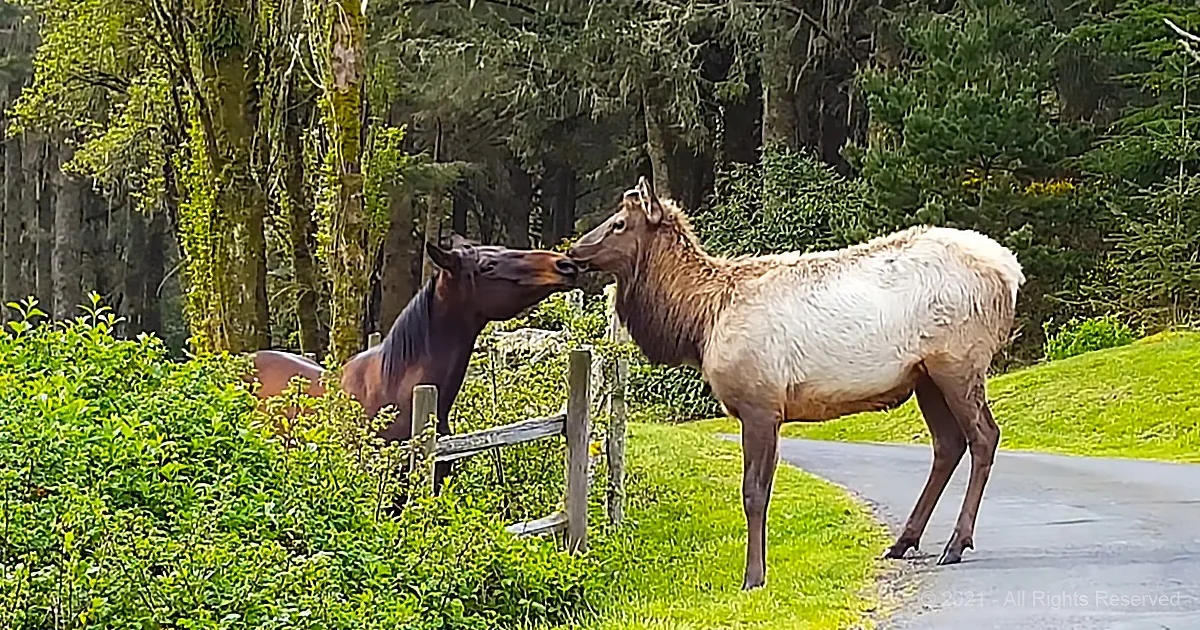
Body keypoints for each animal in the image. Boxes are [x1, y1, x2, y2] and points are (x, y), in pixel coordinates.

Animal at [568, 177, 1024, 590]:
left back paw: (956, 543)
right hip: (925, 376)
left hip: (959, 361)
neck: (700, 323)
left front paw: (753, 577)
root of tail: (1011, 272)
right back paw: (904, 541)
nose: (572, 252)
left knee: (984, 436)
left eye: (619, 223)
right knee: (948, 444)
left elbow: (754, 493)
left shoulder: (759, 404)